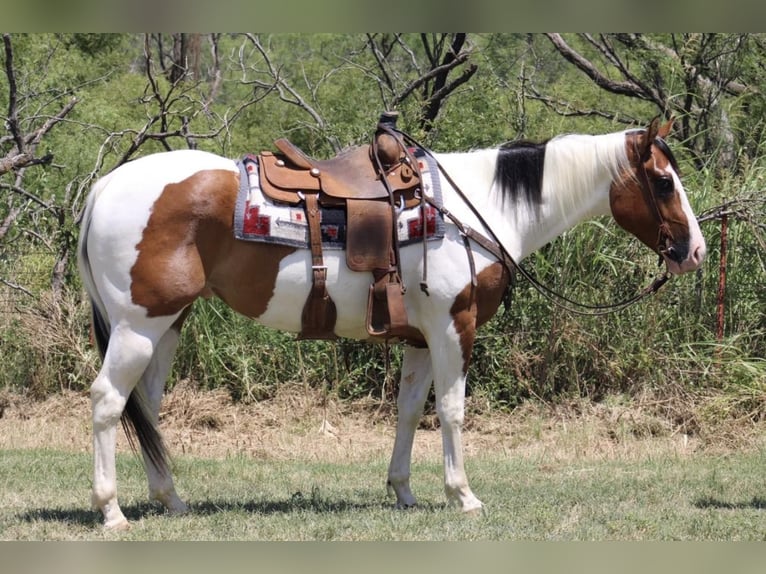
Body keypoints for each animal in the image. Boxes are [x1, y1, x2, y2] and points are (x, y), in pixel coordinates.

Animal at [78, 117, 708, 532]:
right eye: (663, 182)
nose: (695, 252)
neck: (475, 208)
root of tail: (103, 187)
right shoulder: (455, 328)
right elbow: (451, 410)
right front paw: (463, 495)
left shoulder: (421, 339)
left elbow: (409, 411)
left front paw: (403, 491)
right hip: (138, 327)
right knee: (108, 401)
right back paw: (111, 510)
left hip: (167, 325)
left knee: (146, 407)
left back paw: (170, 500)